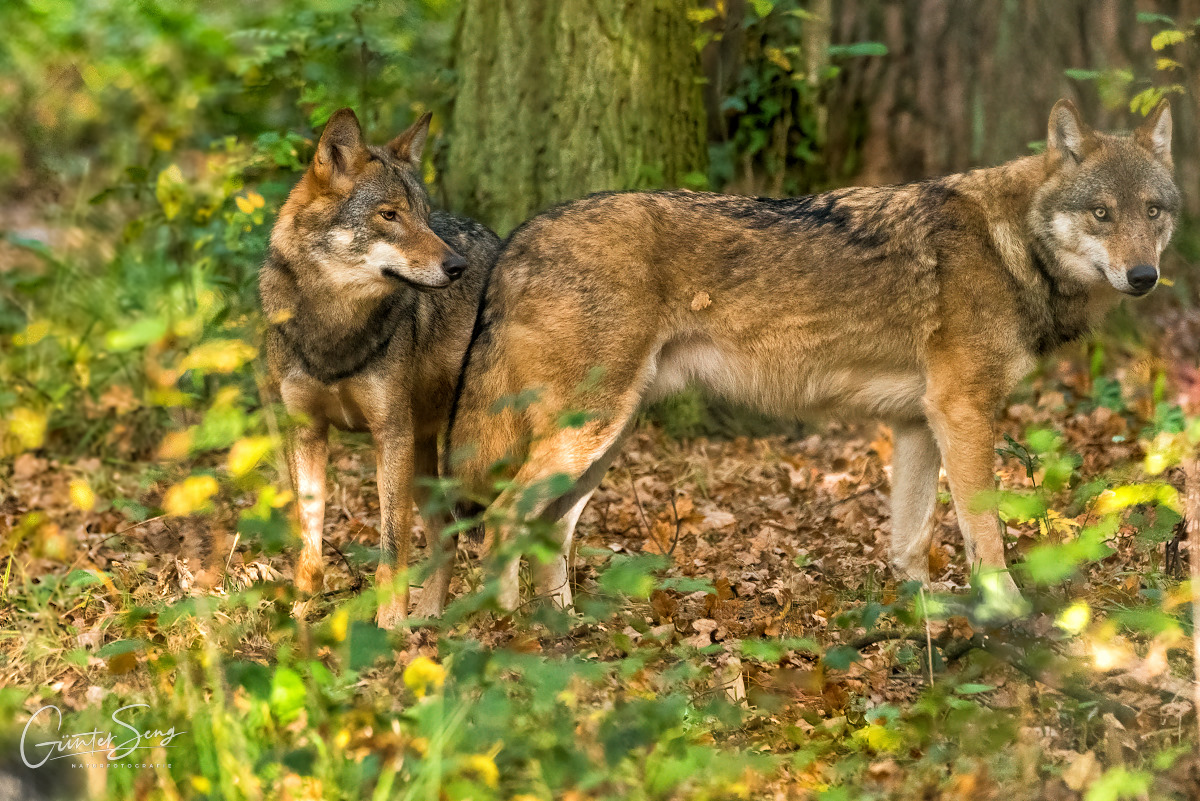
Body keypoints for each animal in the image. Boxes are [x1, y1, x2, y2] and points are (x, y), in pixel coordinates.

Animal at [262, 109, 501, 628]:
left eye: (425, 217)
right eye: (389, 215)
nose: (457, 265)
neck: (334, 326)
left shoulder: (390, 433)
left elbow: (392, 549)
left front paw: (389, 626)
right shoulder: (307, 431)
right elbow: (309, 542)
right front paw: (300, 614)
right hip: (426, 460)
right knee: (447, 535)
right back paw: (432, 616)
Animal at [429, 98, 1171, 613]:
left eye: (1154, 211)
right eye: (1102, 213)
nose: (1145, 277)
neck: (1010, 246)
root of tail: (520, 236)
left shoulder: (917, 422)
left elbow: (911, 543)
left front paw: (921, 619)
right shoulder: (962, 413)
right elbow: (984, 532)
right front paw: (1009, 612)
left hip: (602, 442)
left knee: (548, 533)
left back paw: (563, 632)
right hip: (587, 432)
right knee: (501, 520)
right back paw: (509, 635)